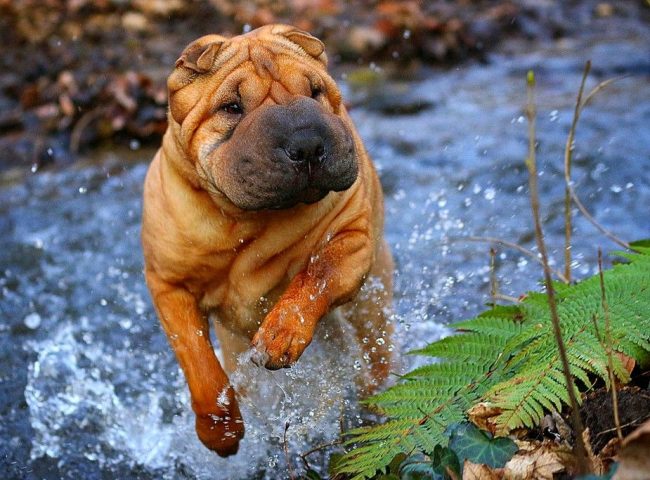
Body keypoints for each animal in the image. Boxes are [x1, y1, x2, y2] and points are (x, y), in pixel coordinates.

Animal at [141, 24, 392, 456]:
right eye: (232, 108)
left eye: (315, 91)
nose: (307, 143)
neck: (245, 220)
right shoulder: (168, 284)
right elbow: (199, 364)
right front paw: (221, 433)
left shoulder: (353, 237)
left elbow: (314, 276)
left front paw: (279, 336)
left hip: (373, 312)